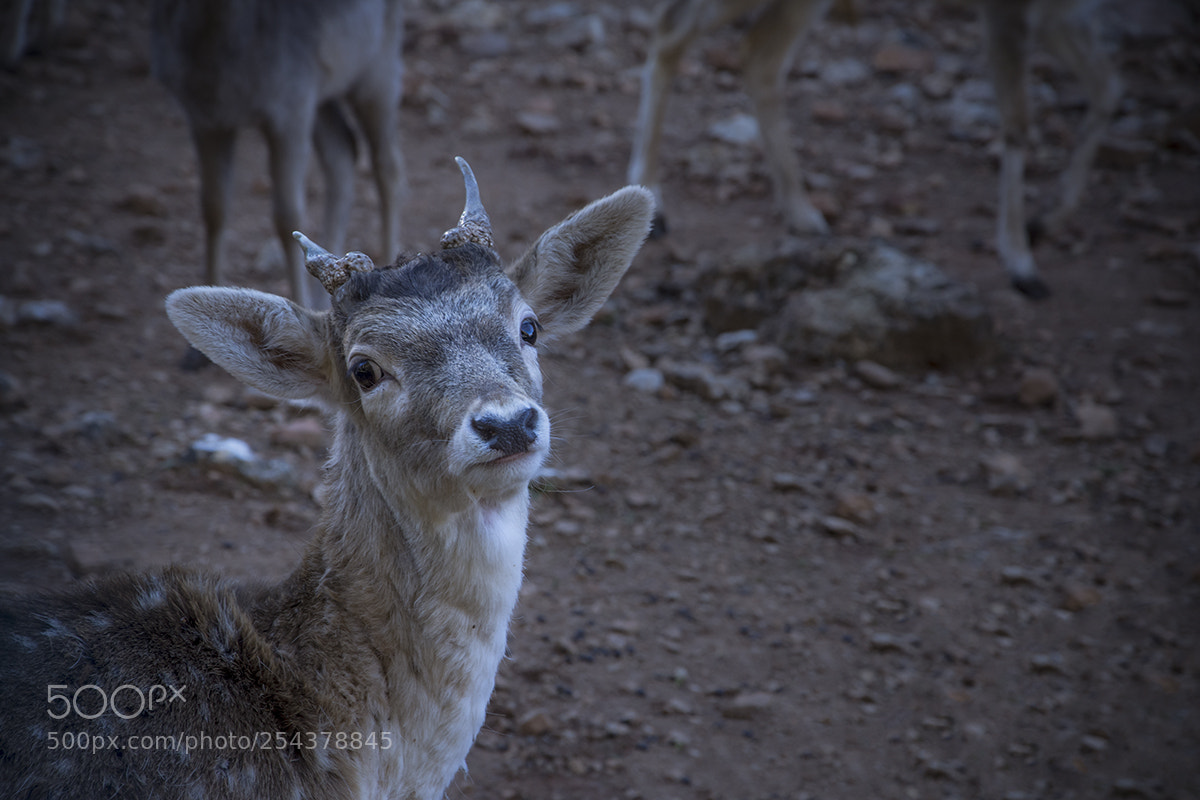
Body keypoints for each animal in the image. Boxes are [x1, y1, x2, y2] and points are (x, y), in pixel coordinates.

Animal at [150, 0, 407, 310]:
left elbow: (287, 217)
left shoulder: (290, 111)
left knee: (387, 165)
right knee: (342, 154)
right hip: (324, 95)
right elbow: (213, 209)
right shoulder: (206, 120)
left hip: (375, 71)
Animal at [628, 0, 1122, 298]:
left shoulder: (1064, 10)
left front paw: (1046, 222)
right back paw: (655, 199)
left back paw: (802, 209)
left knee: (760, 56)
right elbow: (1019, 121)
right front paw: (1021, 261)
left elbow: (1108, 92)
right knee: (673, 30)